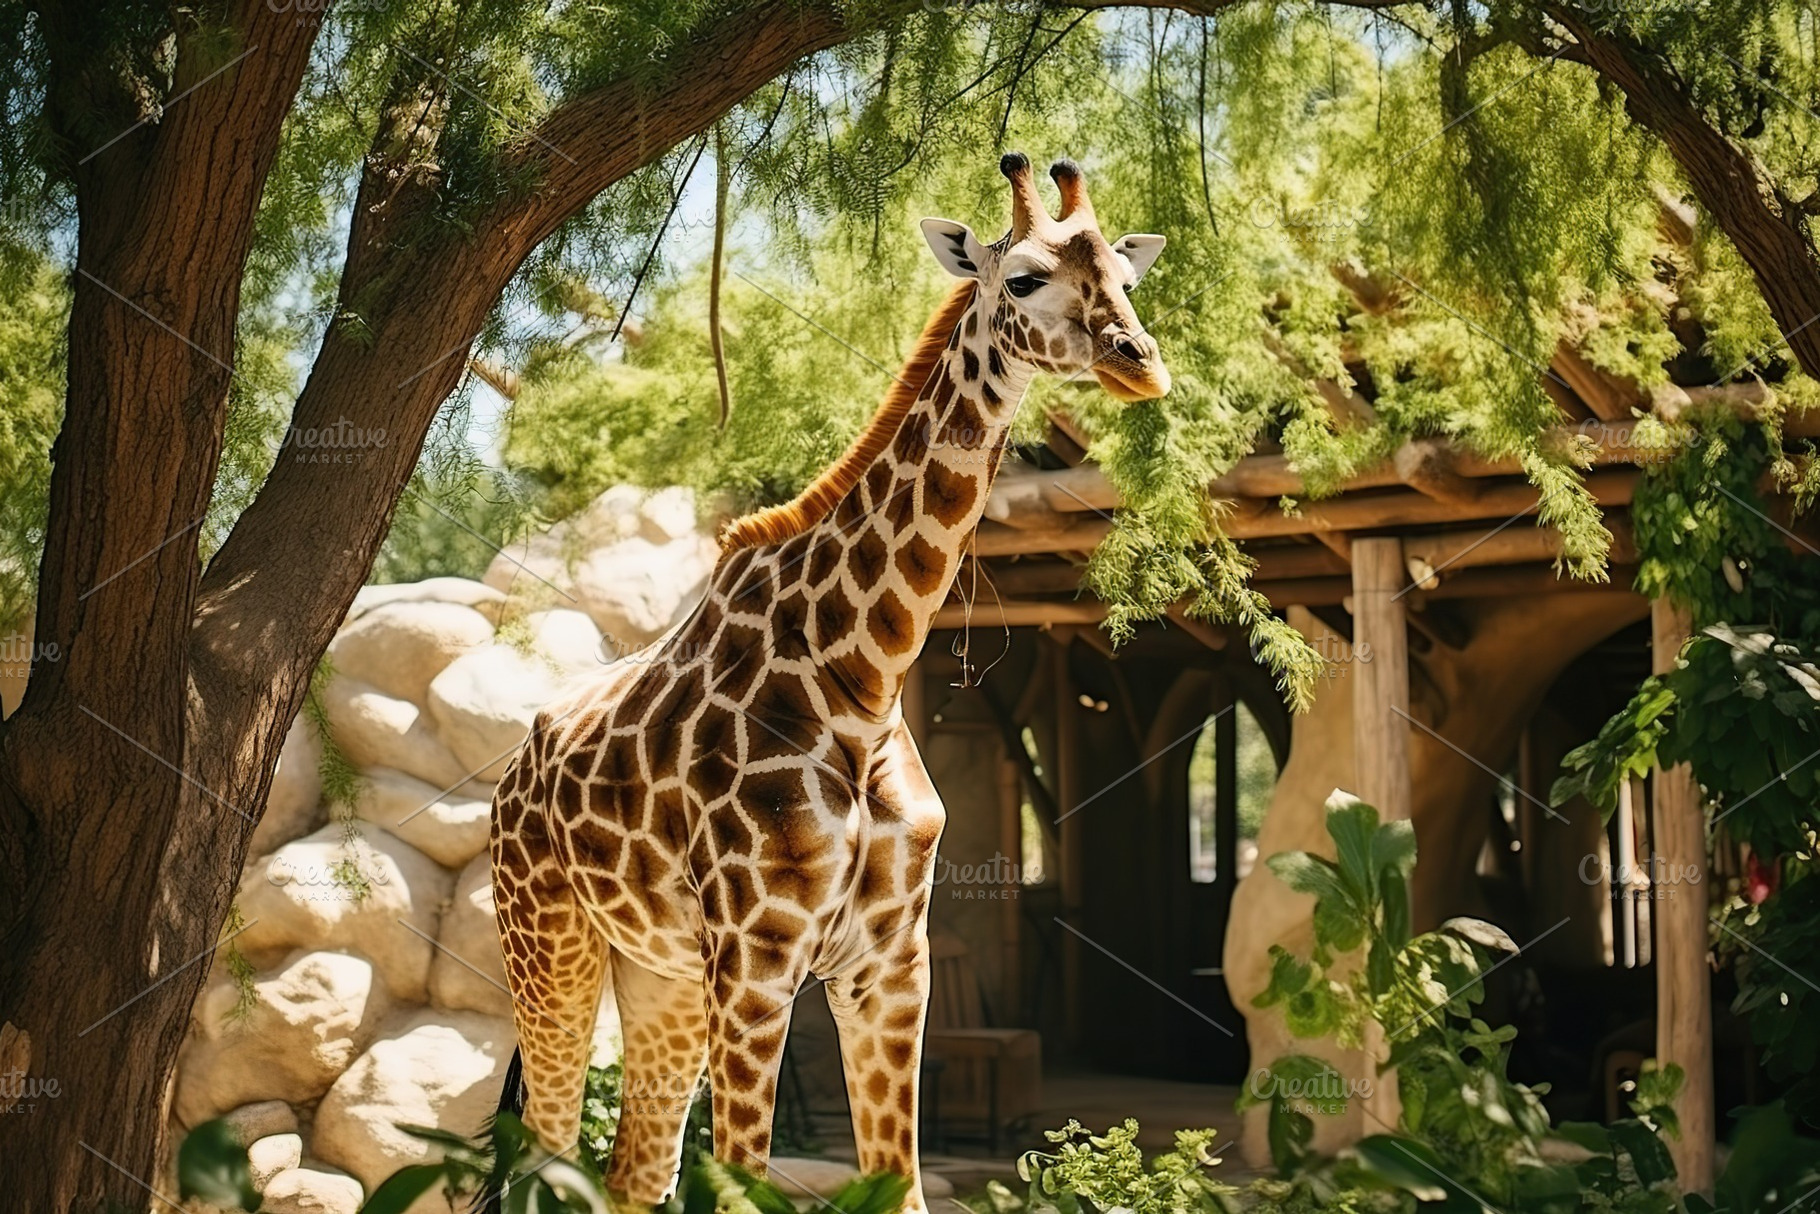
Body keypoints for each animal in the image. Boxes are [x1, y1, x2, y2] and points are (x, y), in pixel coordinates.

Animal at [487, 152, 1170, 1212]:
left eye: (1128, 279)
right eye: (1021, 279)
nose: (1140, 363)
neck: (863, 679)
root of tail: (513, 769)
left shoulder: (890, 962)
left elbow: (906, 1188)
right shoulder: (758, 962)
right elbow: (737, 1186)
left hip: (659, 974)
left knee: (633, 1168)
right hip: (550, 944)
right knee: (549, 1151)